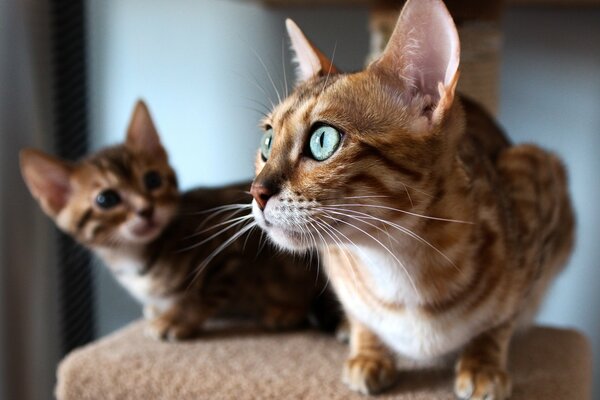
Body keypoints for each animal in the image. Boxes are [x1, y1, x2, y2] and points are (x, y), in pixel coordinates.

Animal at [19, 100, 338, 340]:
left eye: (152, 180)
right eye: (106, 200)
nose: (145, 209)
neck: (136, 259)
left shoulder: (231, 250)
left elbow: (201, 293)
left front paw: (175, 319)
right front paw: (160, 310)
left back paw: (285, 311)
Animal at [247, 1, 572, 398]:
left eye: (323, 140)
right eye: (267, 141)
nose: (257, 192)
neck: (396, 266)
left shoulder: (532, 176)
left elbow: (502, 320)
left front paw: (483, 362)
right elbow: (361, 317)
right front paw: (367, 351)